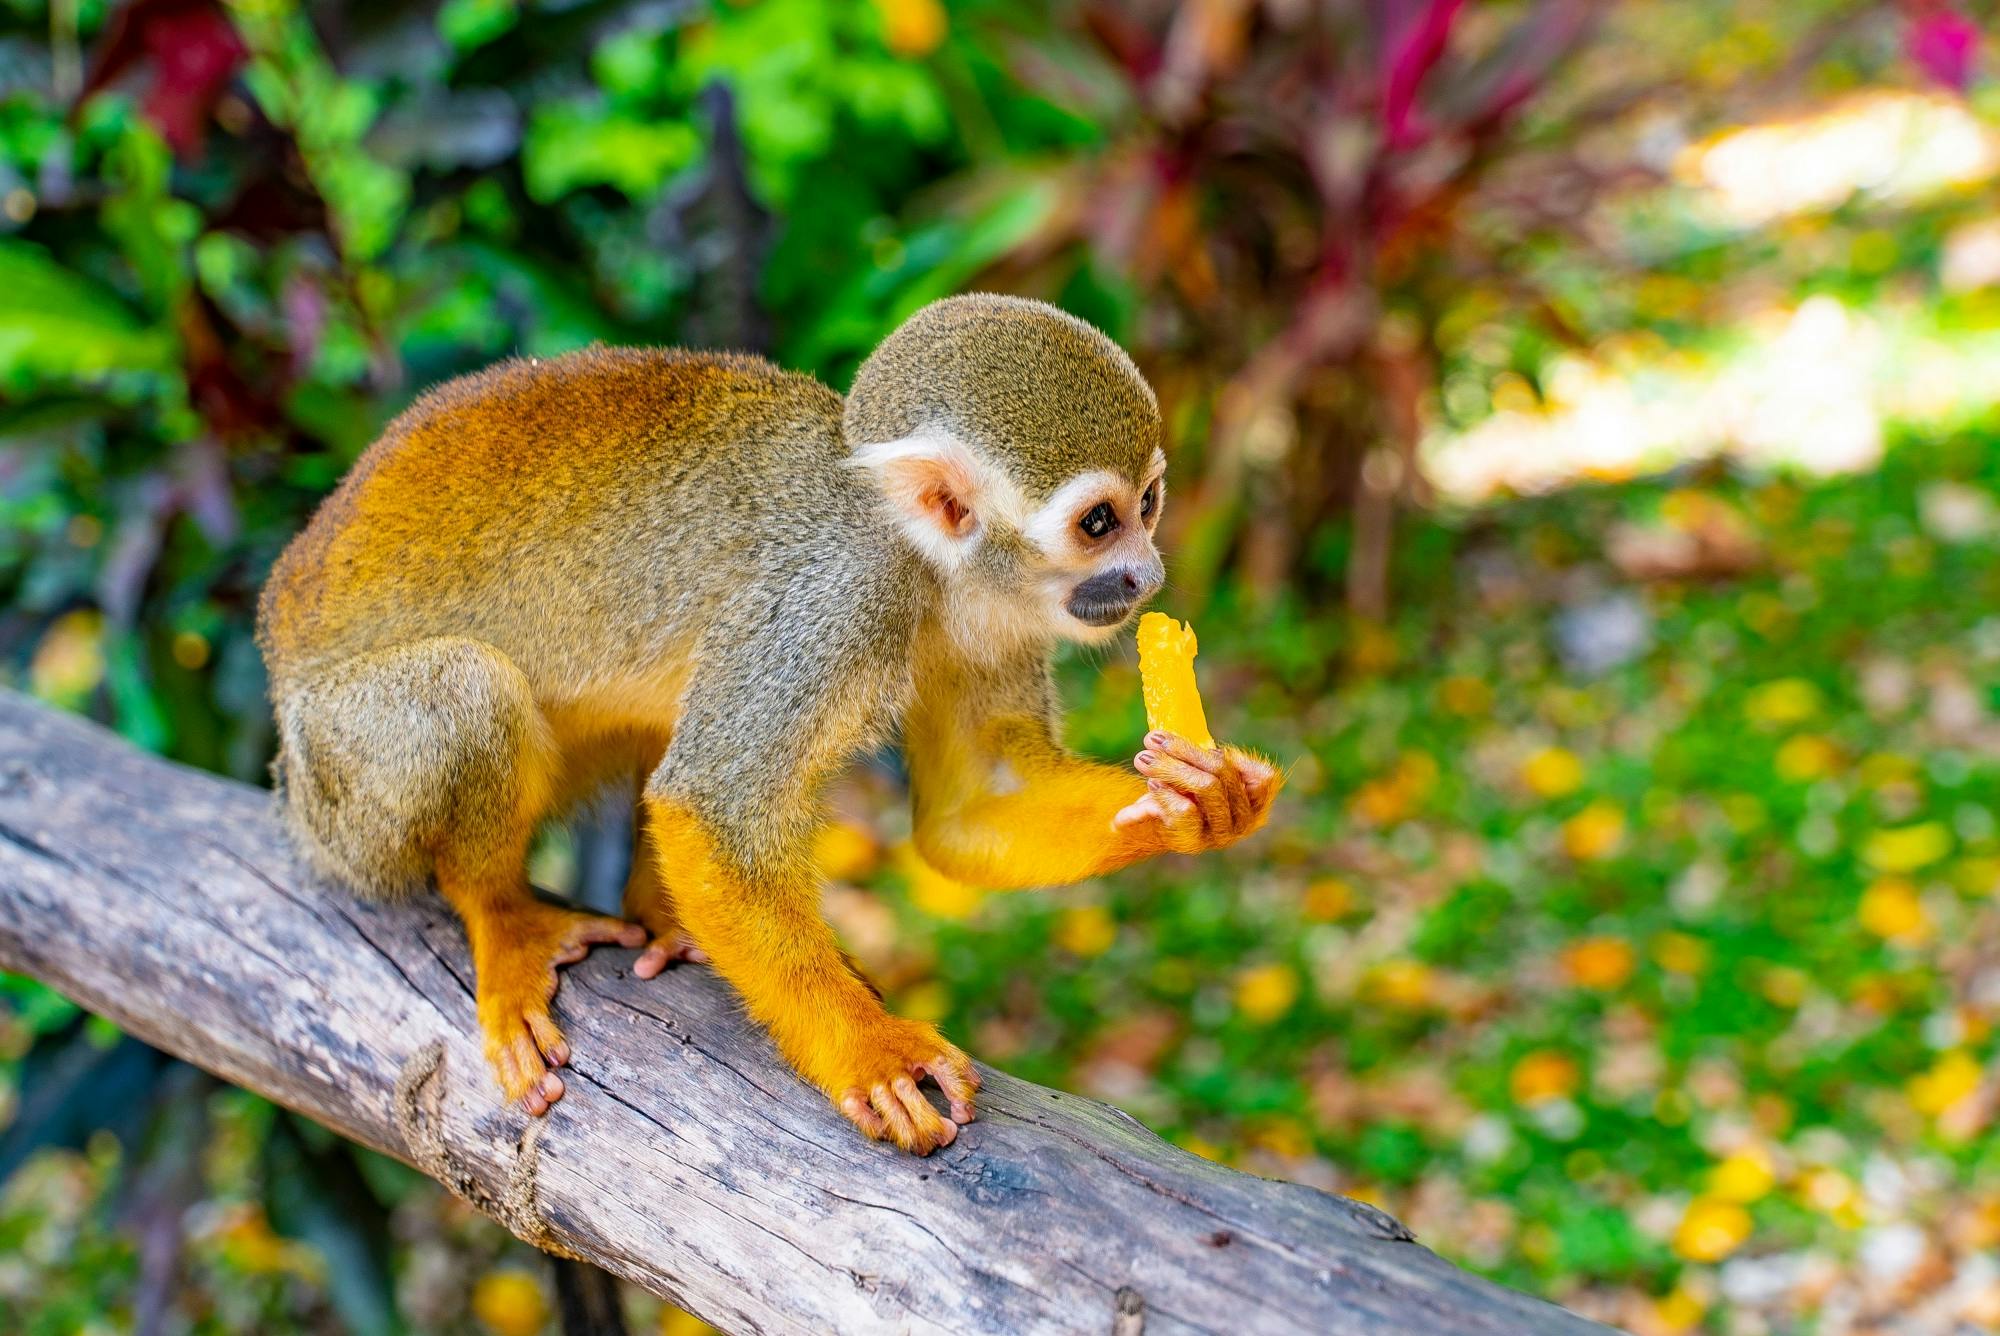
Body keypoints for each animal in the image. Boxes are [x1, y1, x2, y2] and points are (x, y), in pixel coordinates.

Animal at [258, 298, 1280, 1152]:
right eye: (1099, 523)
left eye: (1148, 504)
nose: (1148, 575)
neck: (921, 560)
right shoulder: (831, 600)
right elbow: (711, 807)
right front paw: (871, 1052)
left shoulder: (994, 616)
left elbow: (972, 807)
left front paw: (1196, 804)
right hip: (336, 791)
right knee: (463, 692)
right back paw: (500, 917)